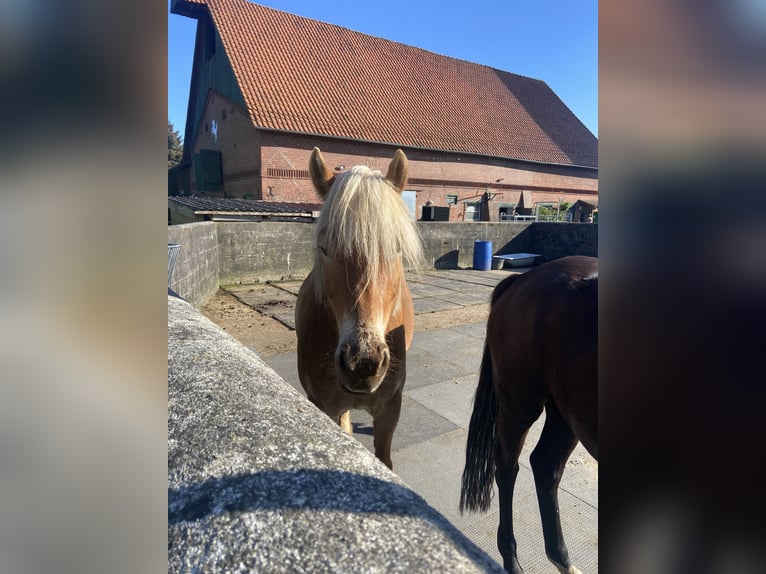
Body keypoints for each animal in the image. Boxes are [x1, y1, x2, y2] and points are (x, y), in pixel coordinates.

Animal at [462, 258, 600, 574]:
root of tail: (522, 279)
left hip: (566, 412)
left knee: (545, 464)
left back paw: (562, 559)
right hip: (520, 405)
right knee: (507, 466)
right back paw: (512, 558)